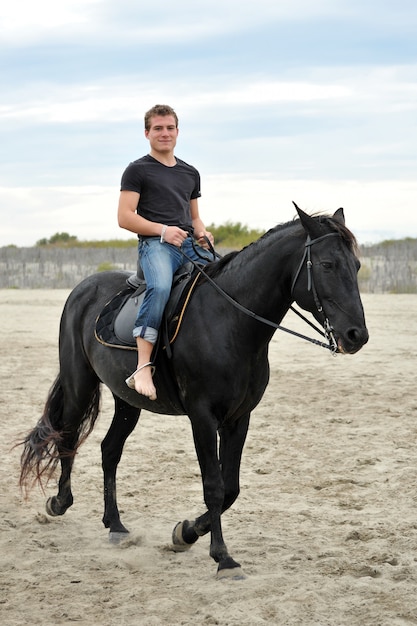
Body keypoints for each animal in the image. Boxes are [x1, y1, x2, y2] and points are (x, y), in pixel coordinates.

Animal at [19, 207, 368, 576]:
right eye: (328, 265)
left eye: (356, 266)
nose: (357, 335)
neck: (230, 322)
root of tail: (83, 288)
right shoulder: (202, 417)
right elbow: (213, 486)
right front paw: (223, 557)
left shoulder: (238, 418)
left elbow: (231, 488)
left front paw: (185, 533)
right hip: (79, 383)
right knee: (67, 436)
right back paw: (59, 502)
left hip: (127, 402)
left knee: (109, 450)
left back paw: (115, 525)